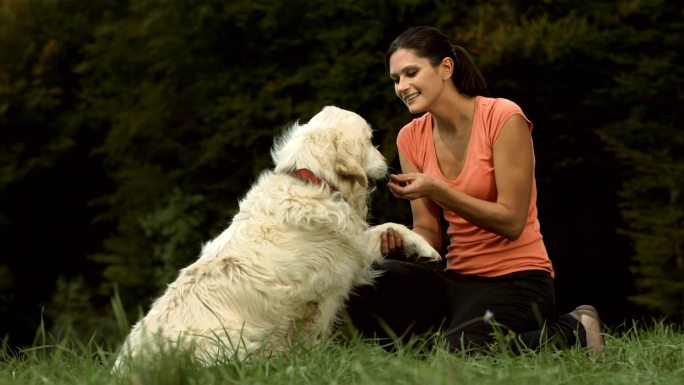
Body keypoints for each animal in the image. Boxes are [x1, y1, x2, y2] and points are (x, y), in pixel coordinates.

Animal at [114, 105, 440, 368]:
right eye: (371, 140)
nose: (388, 163)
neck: (315, 181)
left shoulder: (351, 252)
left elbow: (388, 227)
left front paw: (422, 248)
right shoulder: (331, 285)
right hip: (234, 342)